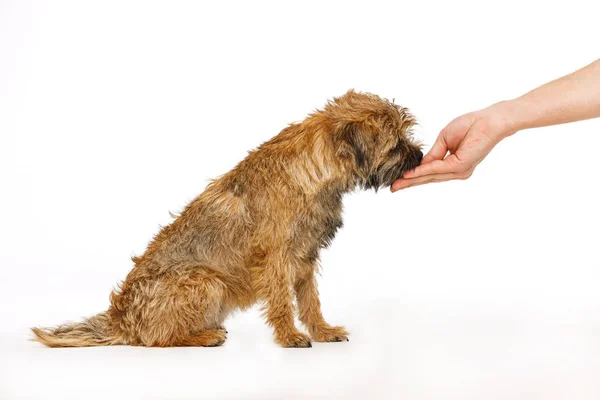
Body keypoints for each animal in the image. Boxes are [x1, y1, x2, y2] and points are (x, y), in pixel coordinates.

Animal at [31, 90, 422, 346]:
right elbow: (282, 301)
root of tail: (120, 319)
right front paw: (289, 336)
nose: (419, 155)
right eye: (396, 144)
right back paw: (203, 337)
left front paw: (322, 331)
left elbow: (310, 300)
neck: (313, 168)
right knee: (156, 339)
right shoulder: (276, 258)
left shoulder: (305, 257)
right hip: (205, 281)